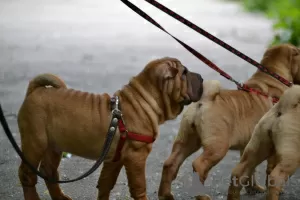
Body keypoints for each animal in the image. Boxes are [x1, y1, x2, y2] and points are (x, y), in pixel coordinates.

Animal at [17, 56, 204, 200]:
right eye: (184, 73)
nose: (202, 77)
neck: (143, 99)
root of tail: (34, 91)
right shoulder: (136, 157)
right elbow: (139, 187)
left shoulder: (114, 160)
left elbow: (105, 184)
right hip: (35, 143)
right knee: (27, 175)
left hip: (54, 147)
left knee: (49, 172)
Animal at [157, 43, 300, 200]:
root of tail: (205, 100)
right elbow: (268, 170)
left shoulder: (249, 146)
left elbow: (250, 171)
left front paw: (253, 188)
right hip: (217, 147)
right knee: (199, 166)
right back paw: (202, 196)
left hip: (187, 141)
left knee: (170, 163)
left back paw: (165, 195)